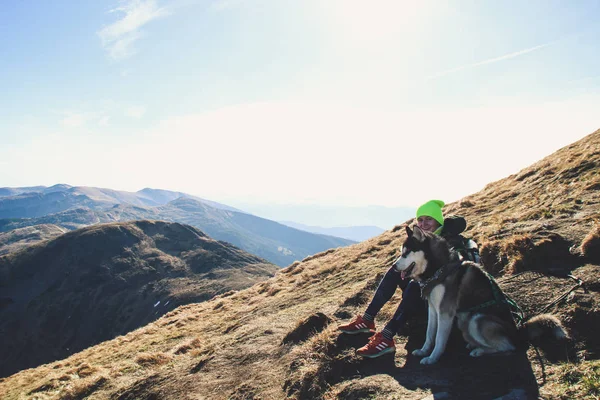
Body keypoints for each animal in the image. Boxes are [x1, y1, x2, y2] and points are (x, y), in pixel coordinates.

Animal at [394, 225, 568, 366]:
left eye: (406, 253)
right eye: (402, 252)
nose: (394, 267)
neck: (439, 269)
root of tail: (518, 331)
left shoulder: (445, 312)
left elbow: (439, 339)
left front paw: (432, 358)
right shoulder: (433, 308)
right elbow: (430, 334)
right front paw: (424, 351)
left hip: (477, 318)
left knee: (508, 346)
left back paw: (480, 350)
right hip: (465, 318)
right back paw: (474, 344)